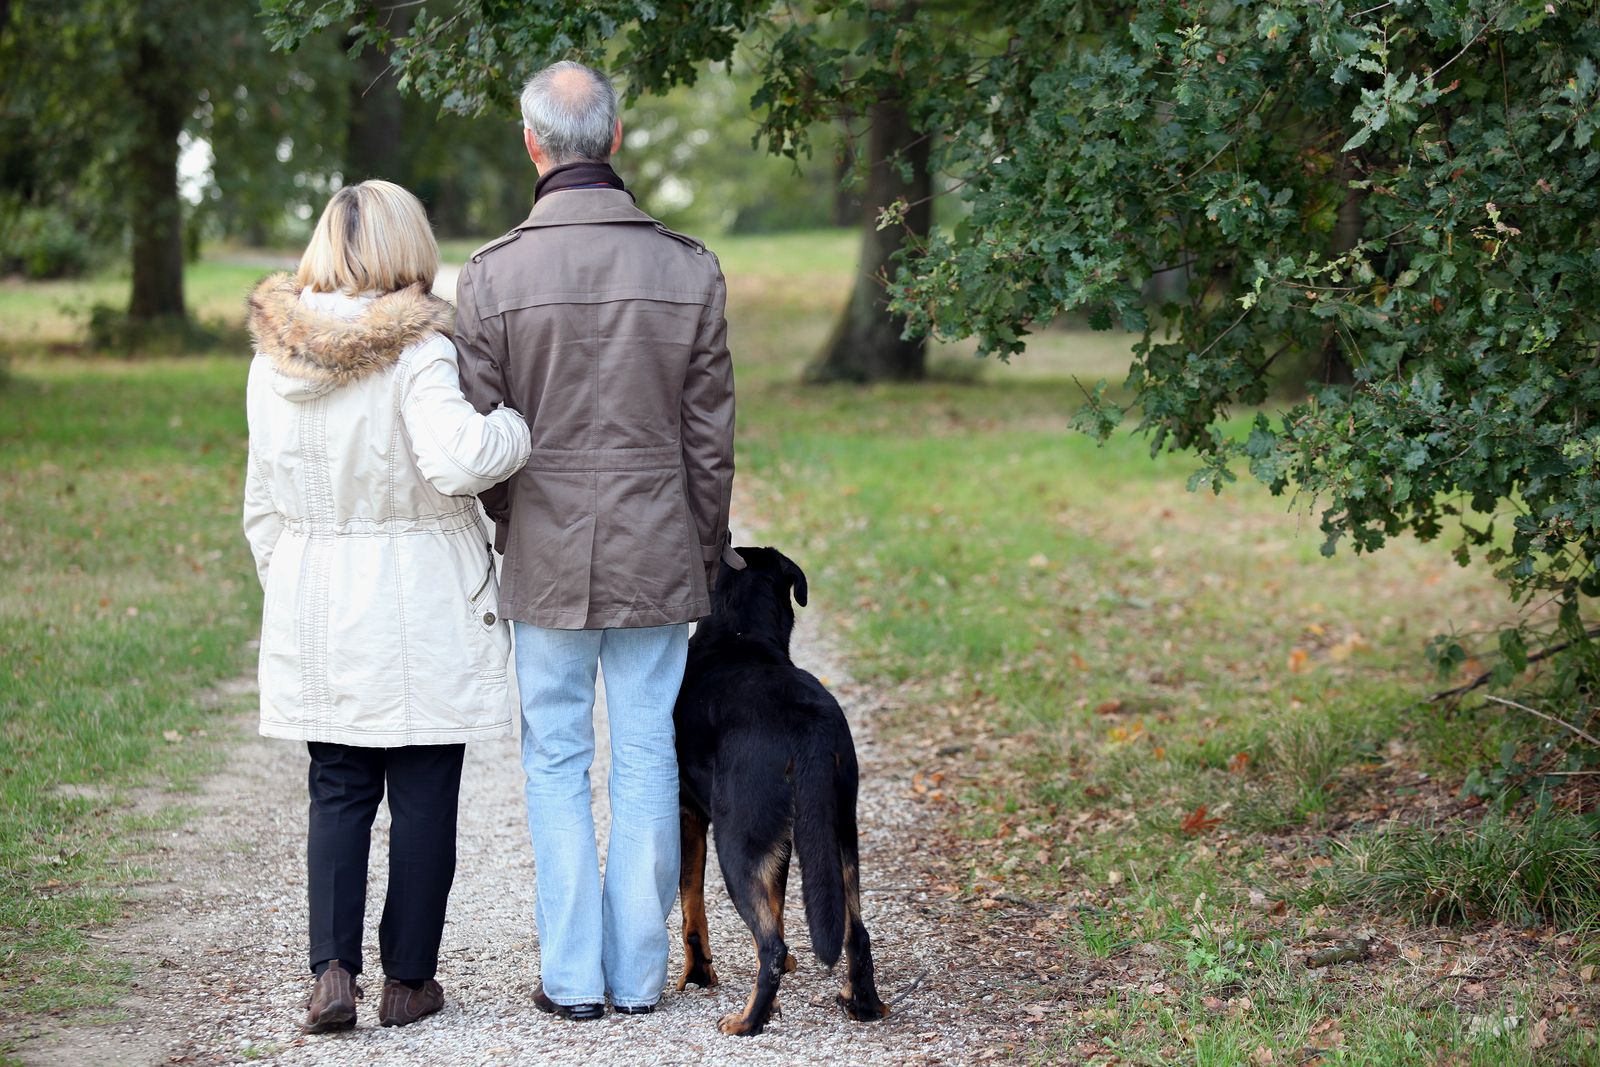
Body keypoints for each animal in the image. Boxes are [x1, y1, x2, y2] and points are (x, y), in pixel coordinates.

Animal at [675, 547, 896, 1030]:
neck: (738, 634)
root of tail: (807, 722)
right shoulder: (786, 839)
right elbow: (775, 904)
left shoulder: (686, 813)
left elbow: (691, 905)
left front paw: (698, 976)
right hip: (839, 836)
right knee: (856, 933)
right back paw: (864, 1005)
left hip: (737, 841)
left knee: (770, 947)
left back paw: (747, 1022)